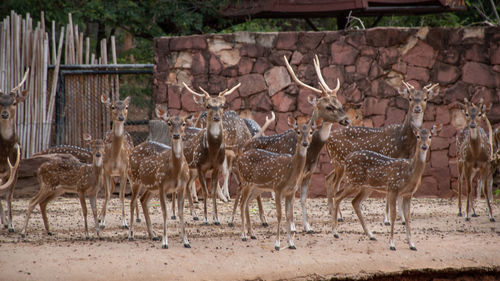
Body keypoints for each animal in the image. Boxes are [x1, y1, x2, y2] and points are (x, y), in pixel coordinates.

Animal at [127, 107, 191, 247]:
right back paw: (131, 235)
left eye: (183, 123)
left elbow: (181, 212)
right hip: (134, 178)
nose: (176, 135)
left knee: (143, 200)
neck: (176, 172)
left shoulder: (182, 186)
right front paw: (165, 242)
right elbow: (165, 212)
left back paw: (153, 235)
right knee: (132, 202)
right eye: (169, 123)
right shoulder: (162, 186)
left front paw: (186, 241)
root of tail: (133, 150)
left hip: (151, 186)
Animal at [183, 81, 241, 223]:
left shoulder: (216, 166)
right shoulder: (200, 166)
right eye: (208, 105)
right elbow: (205, 191)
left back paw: (193, 214)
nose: (216, 117)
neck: (212, 153)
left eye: (222, 105)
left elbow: (213, 191)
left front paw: (216, 219)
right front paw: (205, 219)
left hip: (190, 167)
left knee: (186, 185)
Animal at [237, 116, 316, 249]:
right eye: (298, 132)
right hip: (246, 181)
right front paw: (277, 244)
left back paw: (252, 234)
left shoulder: (291, 192)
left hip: (256, 187)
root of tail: (239, 158)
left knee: (246, 203)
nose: (305, 143)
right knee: (242, 204)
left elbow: (289, 215)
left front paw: (291, 243)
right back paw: (243, 235)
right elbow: (279, 215)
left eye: (311, 132)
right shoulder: (278, 188)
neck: (291, 169)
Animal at [326, 80, 440, 224]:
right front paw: (387, 219)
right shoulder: (389, 155)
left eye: (425, 98)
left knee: (329, 179)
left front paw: (403, 218)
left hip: (338, 164)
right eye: (410, 98)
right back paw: (339, 216)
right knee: (335, 184)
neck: (403, 140)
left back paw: (333, 213)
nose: (417, 108)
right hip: (339, 161)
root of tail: (328, 139)